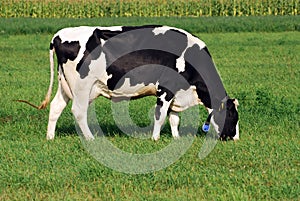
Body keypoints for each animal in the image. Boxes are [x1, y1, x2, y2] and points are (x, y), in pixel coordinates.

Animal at [18, 25, 239, 141]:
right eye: (232, 116)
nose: (235, 139)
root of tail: (59, 34)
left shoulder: (177, 92)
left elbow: (174, 118)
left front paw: (176, 138)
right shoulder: (166, 88)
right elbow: (160, 116)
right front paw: (155, 139)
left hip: (65, 84)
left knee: (56, 107)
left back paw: (50, 137)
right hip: (82, 85)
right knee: (78, 111)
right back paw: (90, 138)